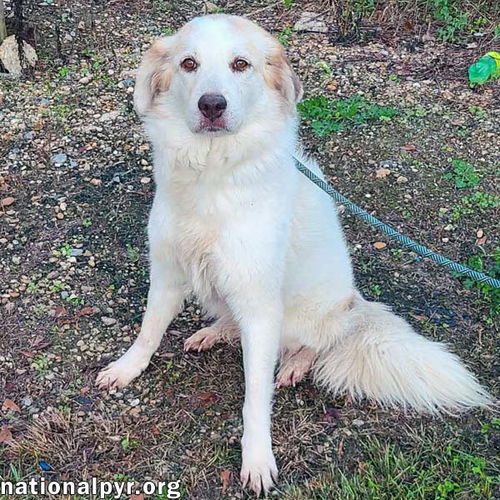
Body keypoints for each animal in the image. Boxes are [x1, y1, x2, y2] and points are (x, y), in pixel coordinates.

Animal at [96, 14, 488, 496]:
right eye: (189, 63)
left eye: (240, 64)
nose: (212, 105)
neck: (213, 173)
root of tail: (355, 304)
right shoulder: (168, 272)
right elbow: (149, 331)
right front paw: (126, 369)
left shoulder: (261, 307)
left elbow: (255, 397)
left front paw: (257, 458)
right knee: (230, 319)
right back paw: (215, 332)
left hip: (310, 313)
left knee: (316, 344)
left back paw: (295, 363)